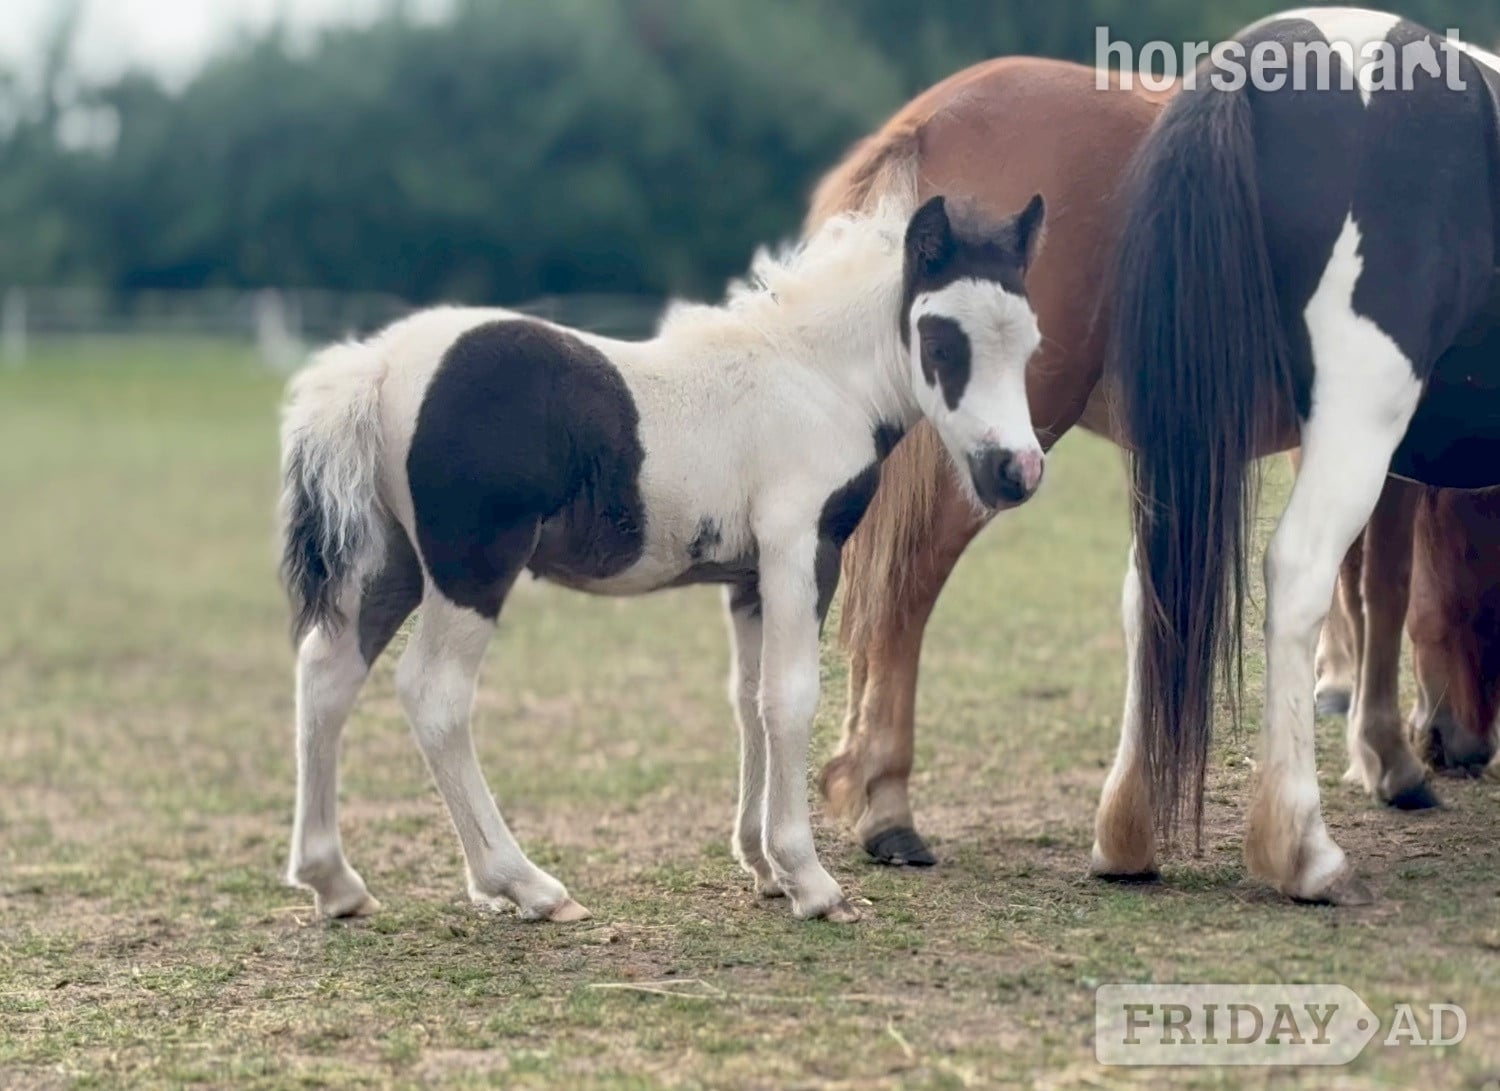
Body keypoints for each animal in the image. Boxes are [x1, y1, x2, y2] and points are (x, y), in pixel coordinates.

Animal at [276, 194, 1048, 924]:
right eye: (941, 340)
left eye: (1031, 343)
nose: (1017, 470)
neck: (816, 379)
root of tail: (376, 365)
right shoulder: (801, 546)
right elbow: (791, 697)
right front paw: (811, 881)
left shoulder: (749, 577)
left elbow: (749, 698)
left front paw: (764, 866)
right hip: (471, 568)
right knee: (433, 693)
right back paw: (526, 885)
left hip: (393, 563)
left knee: (327, 672)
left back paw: (336, 883)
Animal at [1105, 8, 1500, 902]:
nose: (1458, 742)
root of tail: (1255, 63)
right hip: (1358, 415)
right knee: (1299, 571)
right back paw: (1301, 850)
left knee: (1152, 582)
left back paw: (1126, 831)